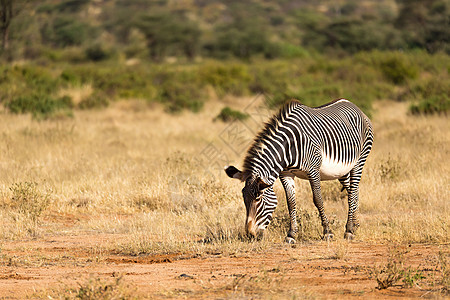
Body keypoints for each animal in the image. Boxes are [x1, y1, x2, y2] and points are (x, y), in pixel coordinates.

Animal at [225, 99, 372, 244]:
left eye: (258, 199)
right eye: (244, 199)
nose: (250, 235)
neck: (288, 148)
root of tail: (354, 106)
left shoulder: (313, 171)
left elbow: (318, 200)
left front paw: (327, 232)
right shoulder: (286, 173)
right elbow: (291, 202)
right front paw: (291, 235)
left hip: (359, 161)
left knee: (353, 192)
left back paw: (349, 230)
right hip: (342, 170)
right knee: (353, 191)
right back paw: (355, 225)